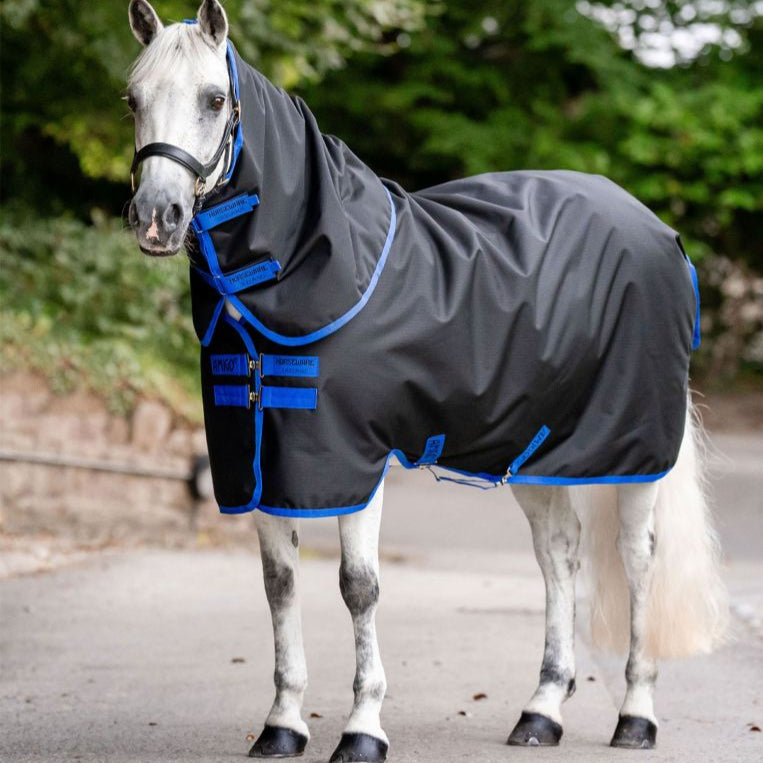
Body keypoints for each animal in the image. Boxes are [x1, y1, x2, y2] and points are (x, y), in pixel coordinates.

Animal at [125, 1, 729, 759]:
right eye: (132, 98)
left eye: (213, 100)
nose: (157, 217)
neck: (314, 265)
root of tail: (659, 231)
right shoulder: (261, 461)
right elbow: (279, 585)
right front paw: (283, 724)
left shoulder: (353, 461)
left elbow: (358, 587)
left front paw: (362, 729)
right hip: (533, 449)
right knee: (558, 556)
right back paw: (540, 711)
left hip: (636, 450)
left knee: (639, 559)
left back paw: (636, 716)